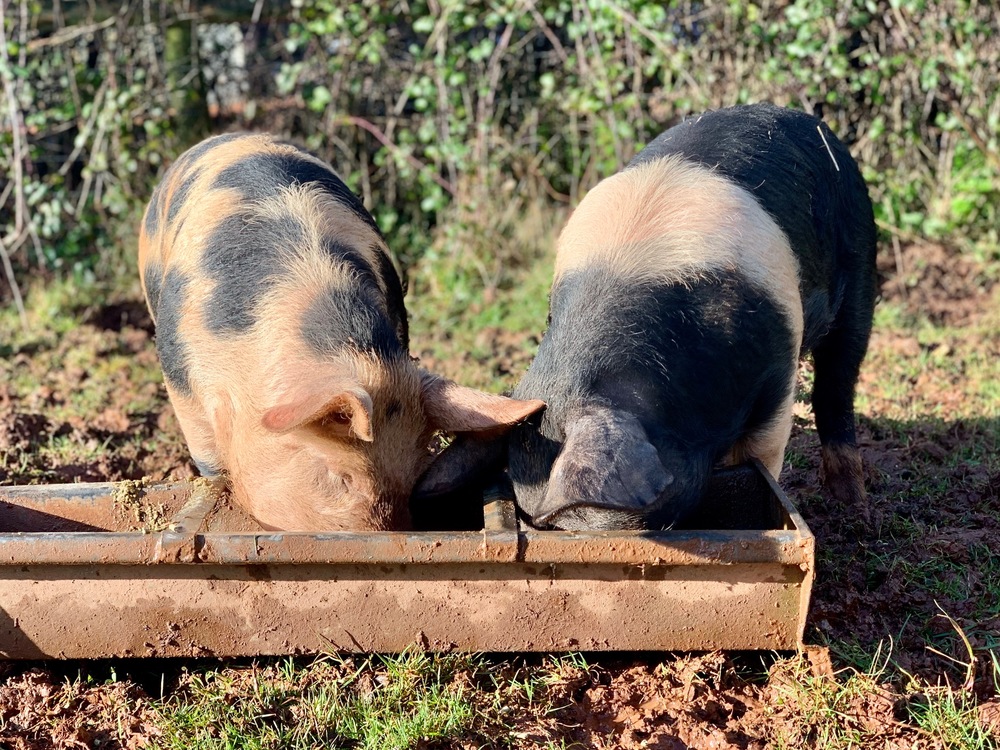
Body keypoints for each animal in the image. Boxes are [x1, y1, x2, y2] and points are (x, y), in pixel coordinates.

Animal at [417, 103, 877, 530]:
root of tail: (804, 118)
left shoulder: (777, 363)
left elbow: (762, 452)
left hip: (860, 260)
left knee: (838, 381)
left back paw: (852, 504)